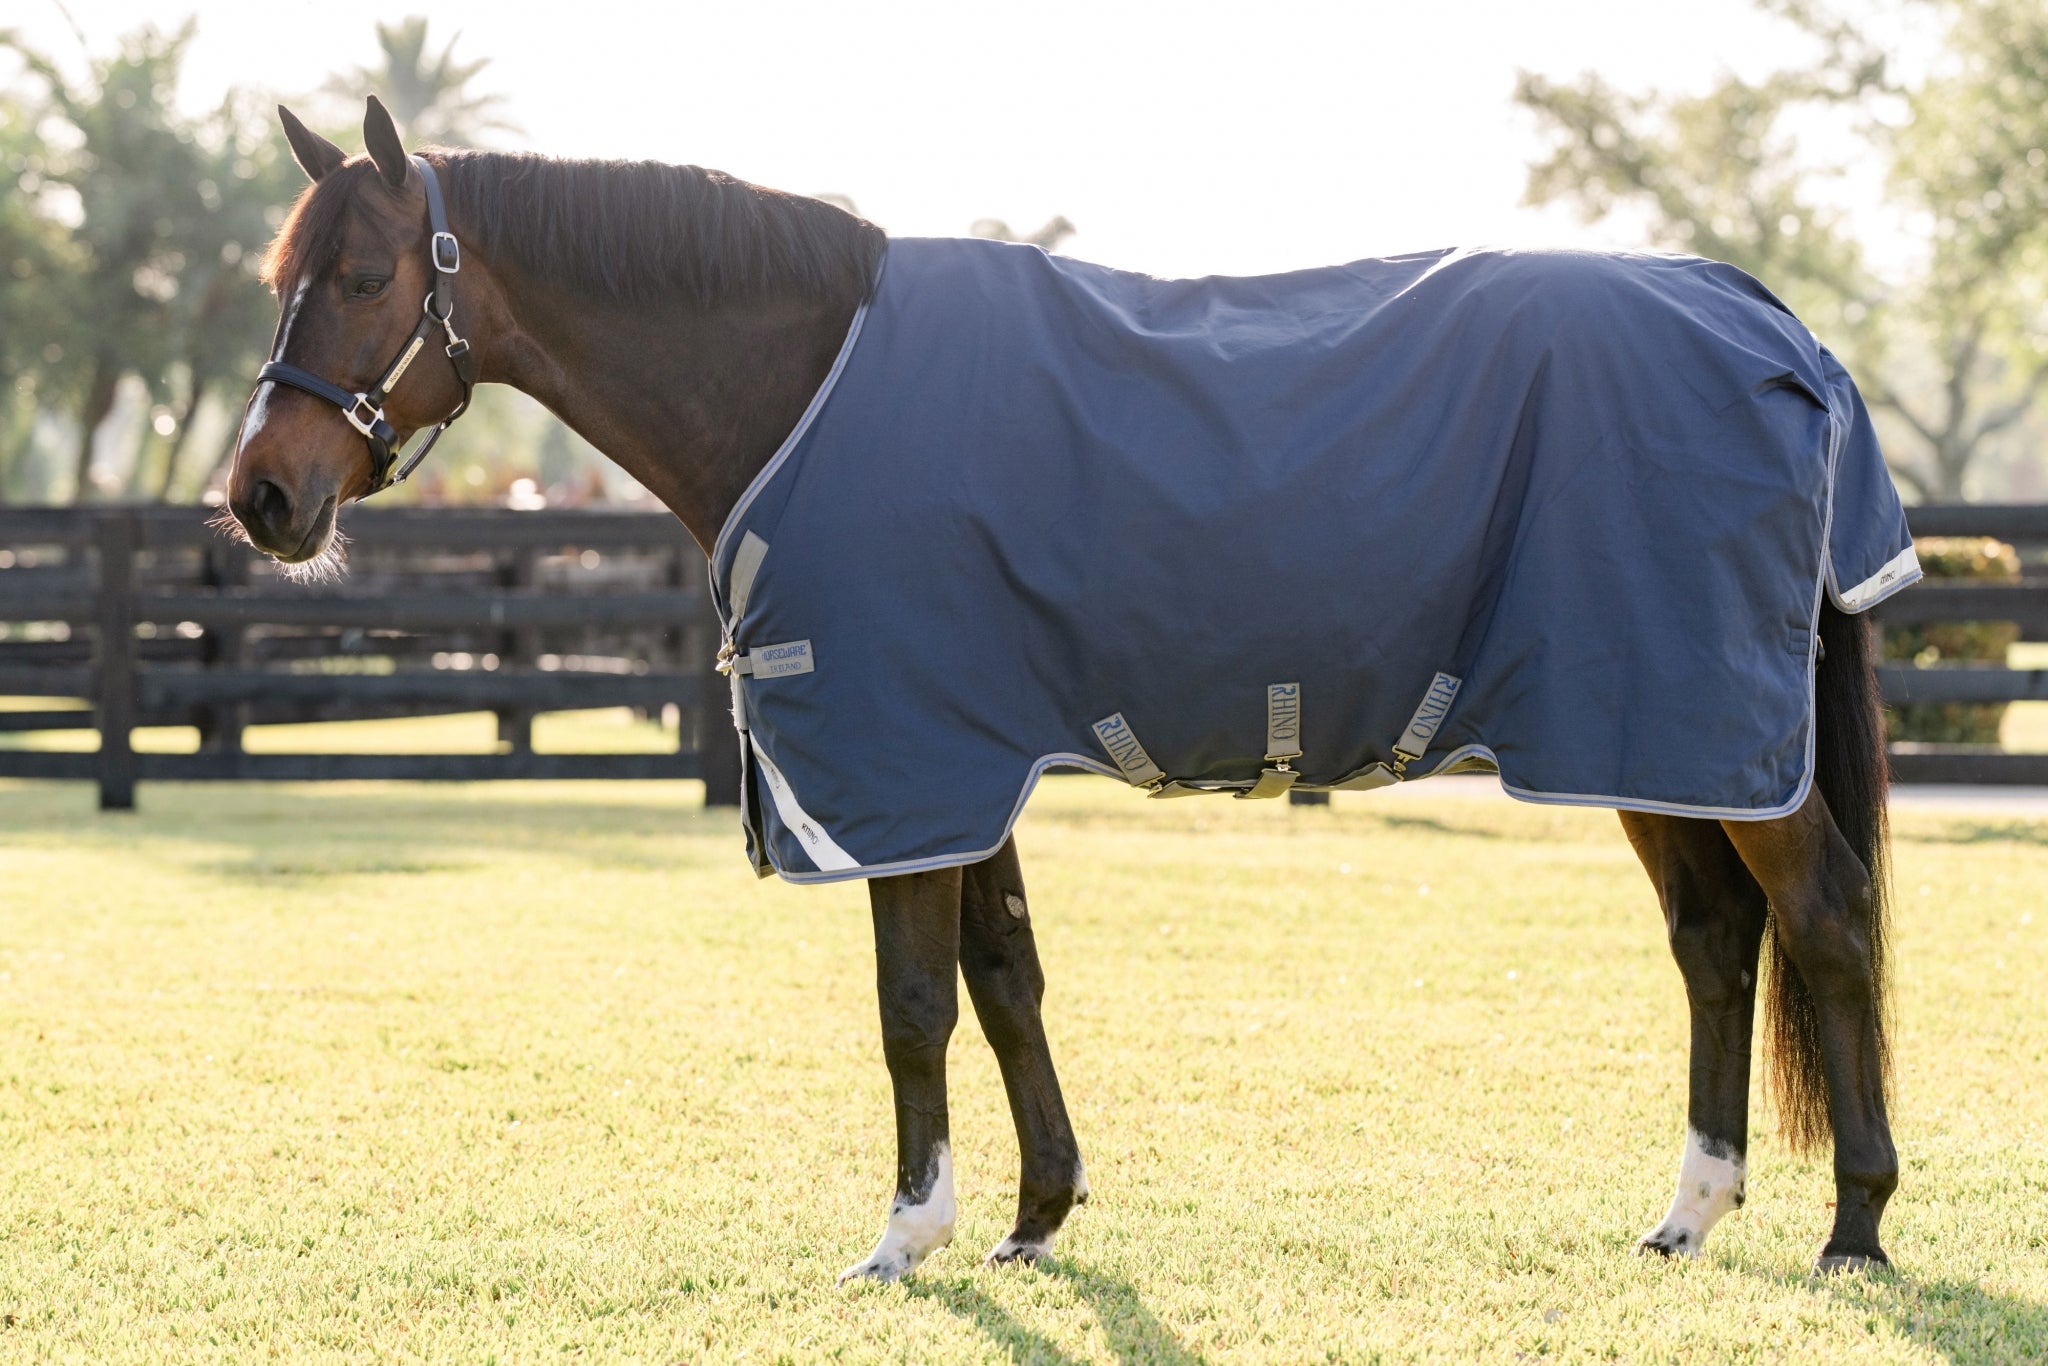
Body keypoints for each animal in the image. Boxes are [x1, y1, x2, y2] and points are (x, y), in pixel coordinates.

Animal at [225, 96, 1905, 1281]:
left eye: (364, 275)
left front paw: (908, 1234)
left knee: (1822, 916)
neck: (809, 381)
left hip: (1697, 722)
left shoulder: (905, 761)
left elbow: (912, 1002)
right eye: (278, 278)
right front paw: (1037, 1214)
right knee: (1715, 937)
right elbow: (1006, 975)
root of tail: (1772, 322)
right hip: (1645, 730)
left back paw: (1857, 1222)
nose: (261, 499)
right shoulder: (970, 760)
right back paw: (1692, 1210)